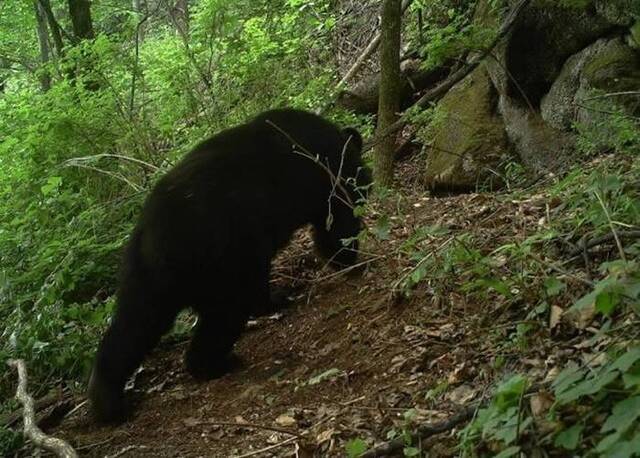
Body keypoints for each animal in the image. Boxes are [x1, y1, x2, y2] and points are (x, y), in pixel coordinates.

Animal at [89, 107, 370, 422]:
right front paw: (348, 260)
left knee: (135, 323)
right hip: (217, 257)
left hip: (146, 275)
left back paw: (106, 401)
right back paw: (215, 363)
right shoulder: (321, 179)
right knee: (225, 311)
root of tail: (153, 235)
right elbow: (339, 224)